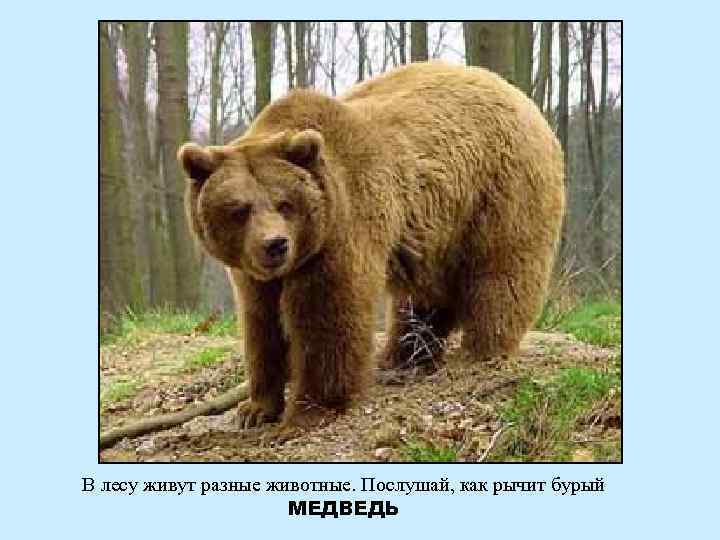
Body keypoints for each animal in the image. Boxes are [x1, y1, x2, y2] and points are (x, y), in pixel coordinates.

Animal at [177, 62, 565, 431]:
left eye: (285, 203)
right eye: (239, 209)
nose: (275, 245)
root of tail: (519, 95)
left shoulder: (340, 229)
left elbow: (328, 316)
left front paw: (309, 411)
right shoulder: (253, 271)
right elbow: (262, 324)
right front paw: (255, 409)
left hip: (500, 190)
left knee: (501, 272)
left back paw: (483, 349)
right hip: (435, 227)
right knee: (425, 294)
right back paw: (406, 355)